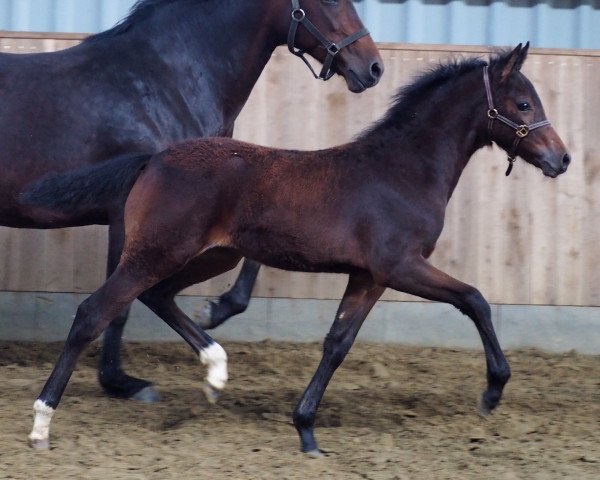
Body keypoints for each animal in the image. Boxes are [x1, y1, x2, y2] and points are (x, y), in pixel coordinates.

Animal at [0, 0, 382, 402]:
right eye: (330, 1)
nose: (373, 67)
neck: (164, 83)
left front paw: (216, 311)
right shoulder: (128, 216)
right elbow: (119, 306)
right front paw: (122, 382)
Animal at [22, 43, 568, 452]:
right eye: (524, 105)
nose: (561, 159)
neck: (402, 171)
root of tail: (153, 159)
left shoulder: (366, 276)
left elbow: (337, 343)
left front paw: (306, 430)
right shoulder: (399, 267)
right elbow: (475, 299)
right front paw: (492, 391)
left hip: (214, 254)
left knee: (158, 297)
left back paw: (216, 370)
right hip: (157, 252)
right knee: (94, 312)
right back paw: (42, 423)